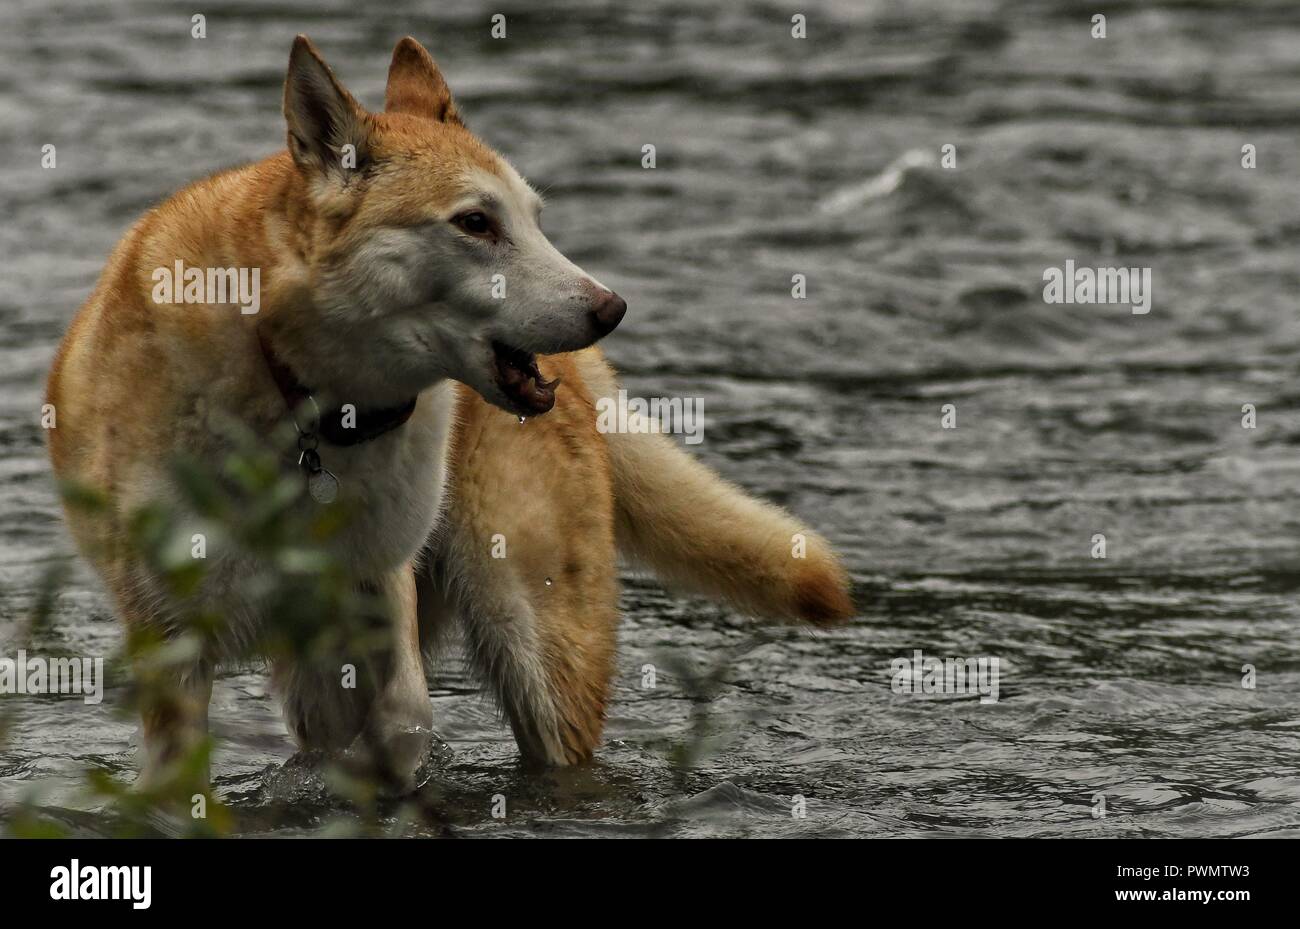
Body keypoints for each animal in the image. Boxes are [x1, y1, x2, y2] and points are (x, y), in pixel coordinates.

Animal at [45, 38, 852, 789]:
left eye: (534, 219)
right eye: (475, 223)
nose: (611, 308)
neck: (301, 406)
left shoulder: (376, 591)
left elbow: (406, 719)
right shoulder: (172, 642)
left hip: (536, 641)